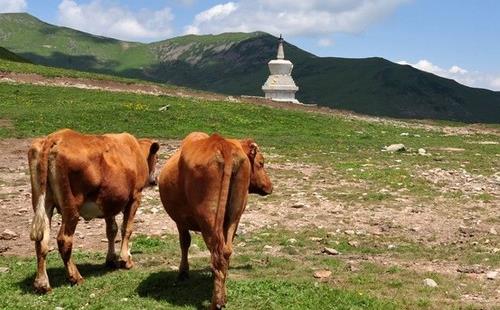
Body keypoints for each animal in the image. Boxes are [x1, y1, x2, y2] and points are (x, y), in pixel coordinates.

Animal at [27, 128, 160, 294]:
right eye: (157, 158)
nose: (155, 180)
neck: (136, 151)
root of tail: (53, 138)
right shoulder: (135, 197)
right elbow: (126, 229)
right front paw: (126, 259)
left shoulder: (108, 201)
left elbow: (112, 230)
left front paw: (111, 259)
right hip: (71, 208)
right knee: (64, 240)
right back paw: (75, 277)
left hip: (44, 203)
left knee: (41, 241)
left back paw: (42, 283)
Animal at [158, 132, 272, 308]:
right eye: (261, 162)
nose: (270, 186)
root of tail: (222, 143)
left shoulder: (180, 221)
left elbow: (184, 242)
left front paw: (183, 272)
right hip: (233, 217)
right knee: (226, 251)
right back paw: (223, 296)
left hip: (208, 218)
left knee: (217, 254)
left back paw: (216, 302)